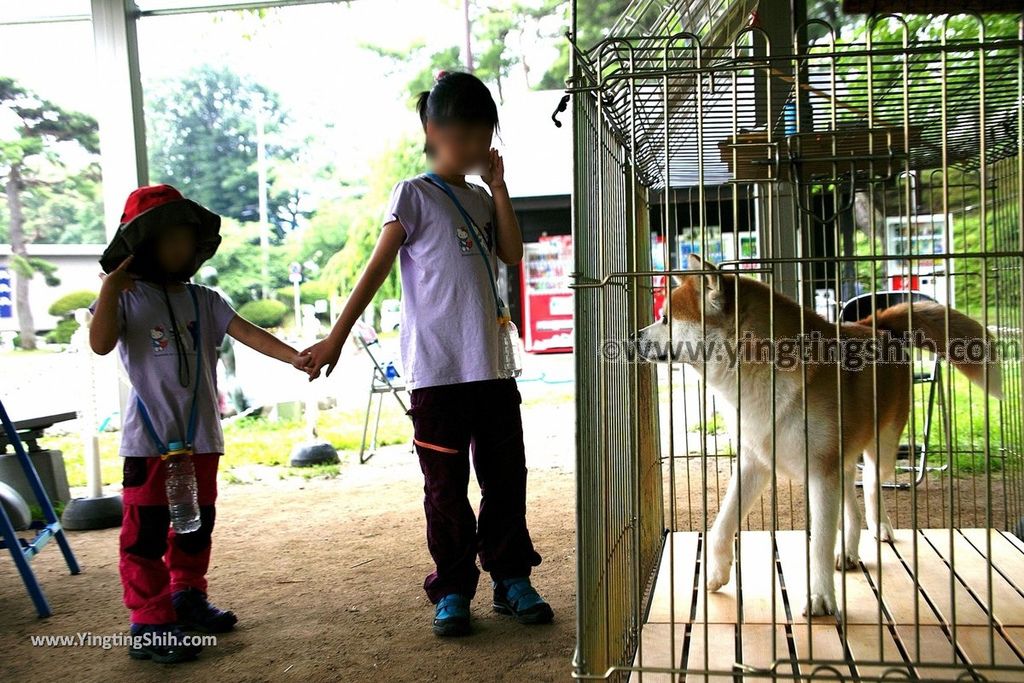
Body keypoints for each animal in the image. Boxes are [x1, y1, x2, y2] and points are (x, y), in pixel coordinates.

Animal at [630, 255, 999, 618]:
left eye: (665, 318)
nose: (633, 337)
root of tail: (877, 327)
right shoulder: (755, 463)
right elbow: (721, 524)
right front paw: (716, 573)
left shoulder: (821, 474)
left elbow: (819, 544)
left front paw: (820, 597)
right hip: (843, 462)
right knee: (852, 508)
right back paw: (848, 551)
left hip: (880, 449)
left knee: (872, 490)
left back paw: (879, 528)